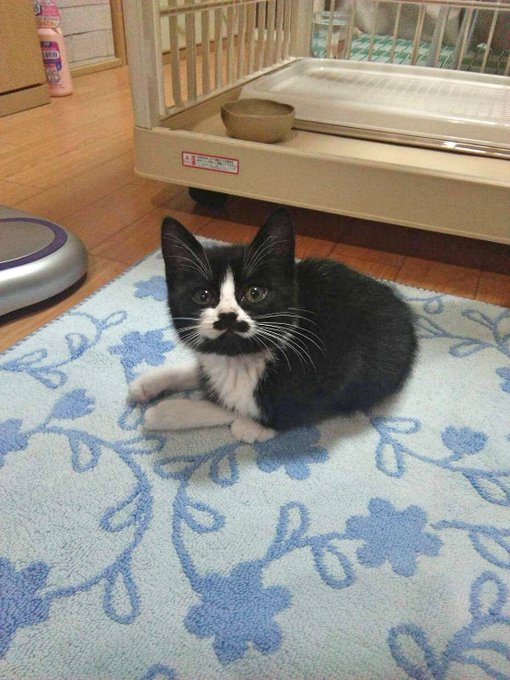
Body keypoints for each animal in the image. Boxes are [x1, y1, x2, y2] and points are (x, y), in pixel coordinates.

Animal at [129, 208, 417, 443]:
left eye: (255, 293)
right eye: (203, 296)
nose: (228, 316)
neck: (242, 360)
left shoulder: (345, 364)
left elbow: (256, 409)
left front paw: (169, 412)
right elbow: (205, 371)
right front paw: (151, 383)